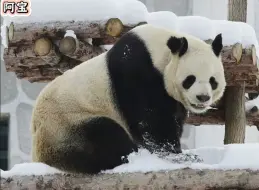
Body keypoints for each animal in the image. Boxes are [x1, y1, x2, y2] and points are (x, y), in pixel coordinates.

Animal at [30, 23, 226, 174]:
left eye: (213, 81)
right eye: (190, 79)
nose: (203, 97)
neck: (160, 52)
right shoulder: (138, 71)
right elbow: (151, 120)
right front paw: (176, 154)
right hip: (68, 121)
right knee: (104, 136)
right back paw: (127, 157)